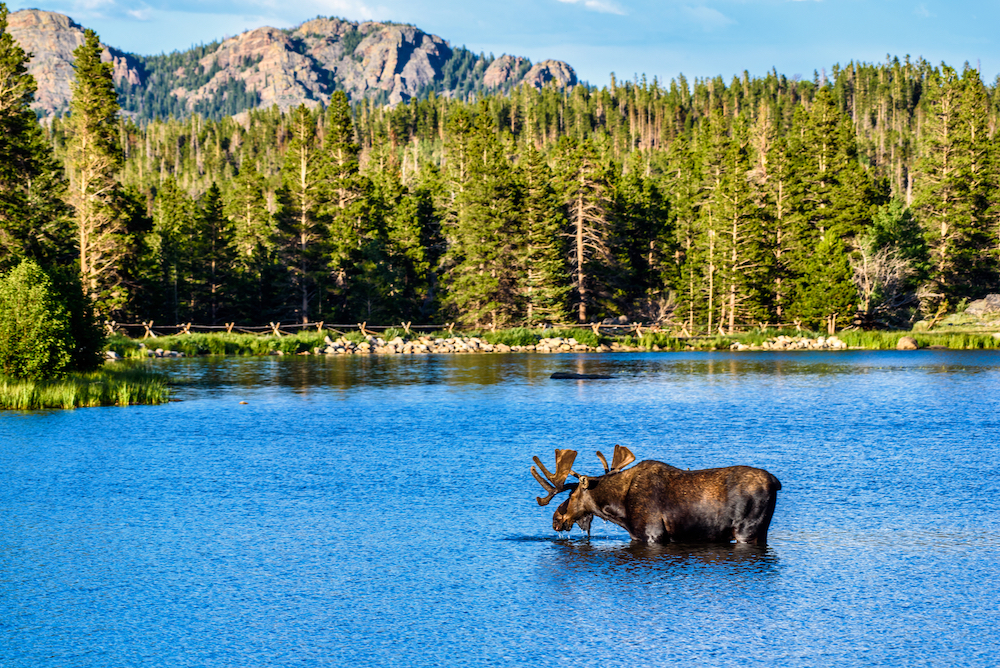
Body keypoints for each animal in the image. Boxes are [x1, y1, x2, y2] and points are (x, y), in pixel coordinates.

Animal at [532, 446, 780, 544]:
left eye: (572, 495)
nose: (556, 519)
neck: (618, 510)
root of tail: (776, 482)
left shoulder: (653, 534)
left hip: (746, 531)